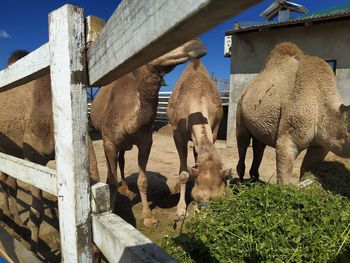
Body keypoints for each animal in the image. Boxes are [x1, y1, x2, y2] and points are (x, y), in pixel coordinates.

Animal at [0, 50, 99, 254]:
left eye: (99, 255)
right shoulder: (33, 156)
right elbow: (36, 212)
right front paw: (33, 250)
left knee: (9, 183)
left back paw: (15, 220)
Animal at [90, 38, 206, 228]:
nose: (197, 44)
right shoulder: (109, 141)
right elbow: (112, 180)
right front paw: (112, 210)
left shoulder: (146, 142)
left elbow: (142, 181)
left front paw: (148, 217)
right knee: (111, 165)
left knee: (121, 161)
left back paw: (126, 188)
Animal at [168, 59, 226, 221]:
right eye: (198, 197)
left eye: (221, 196)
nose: (206, 213)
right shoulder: (177, 134)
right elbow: (183, 173)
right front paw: (181, 210)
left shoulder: (214, 130)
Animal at [235, 42, 350, 185]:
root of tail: (246, 90)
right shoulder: (288, 140)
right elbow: (283, 178)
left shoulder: (321, 146)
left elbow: (306, 169)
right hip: (240, 111)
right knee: (243, 144)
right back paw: (241, 182)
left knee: (259, 147)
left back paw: (254, 179)